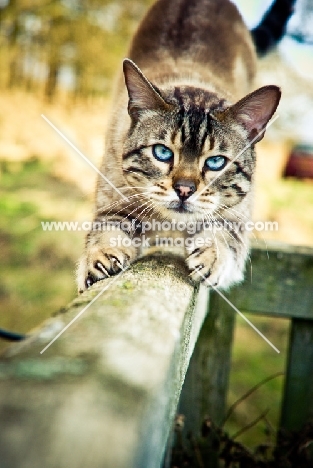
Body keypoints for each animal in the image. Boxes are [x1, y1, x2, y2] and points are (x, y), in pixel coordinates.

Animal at [76, 0, 282, 292]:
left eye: (216, 162)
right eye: (162, 153)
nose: (184, 190)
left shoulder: (236, 217)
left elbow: (223, 236)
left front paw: (210, 258)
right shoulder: (114, 205)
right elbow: (107, 231)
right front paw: (100, 261)